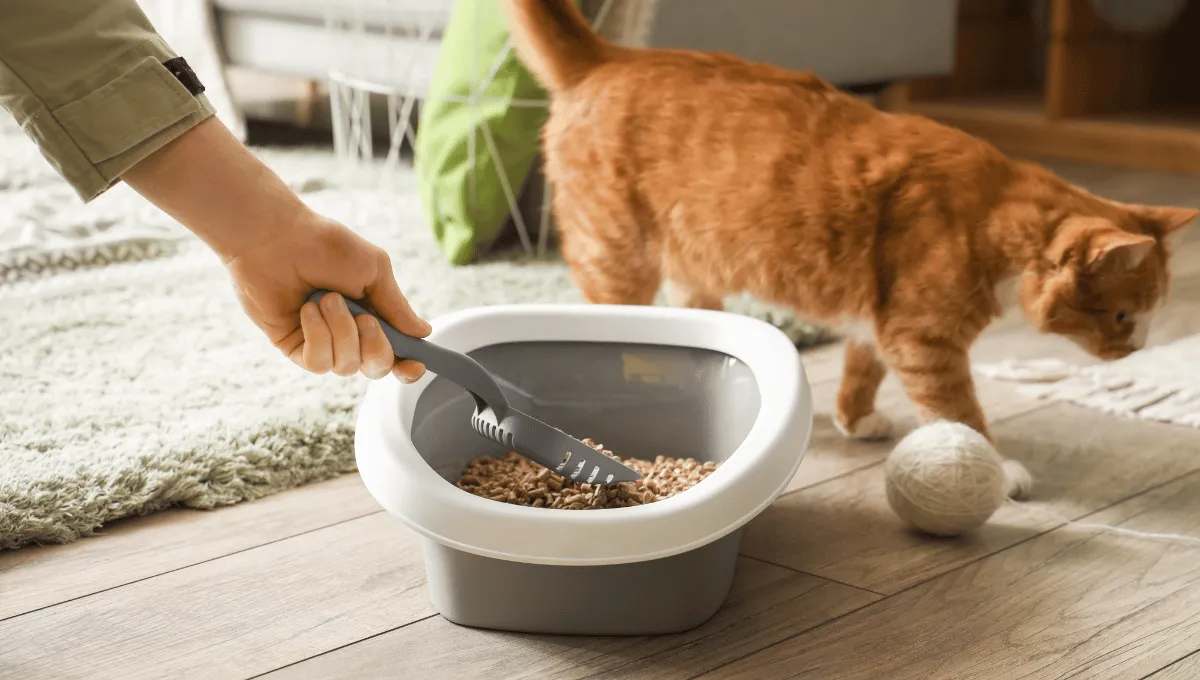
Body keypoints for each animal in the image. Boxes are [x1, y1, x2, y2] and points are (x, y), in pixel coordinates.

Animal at [504, 0, 1200, 482]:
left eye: (1145, 316)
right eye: (1123, 315)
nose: (1138, 349)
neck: (991, 214)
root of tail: (611, 56)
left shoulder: (883, 322)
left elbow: (863, 367)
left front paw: (855, 418)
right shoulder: (926, 341)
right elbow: (961, 414)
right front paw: (996, 472)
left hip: (698, 272)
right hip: (617, 254)